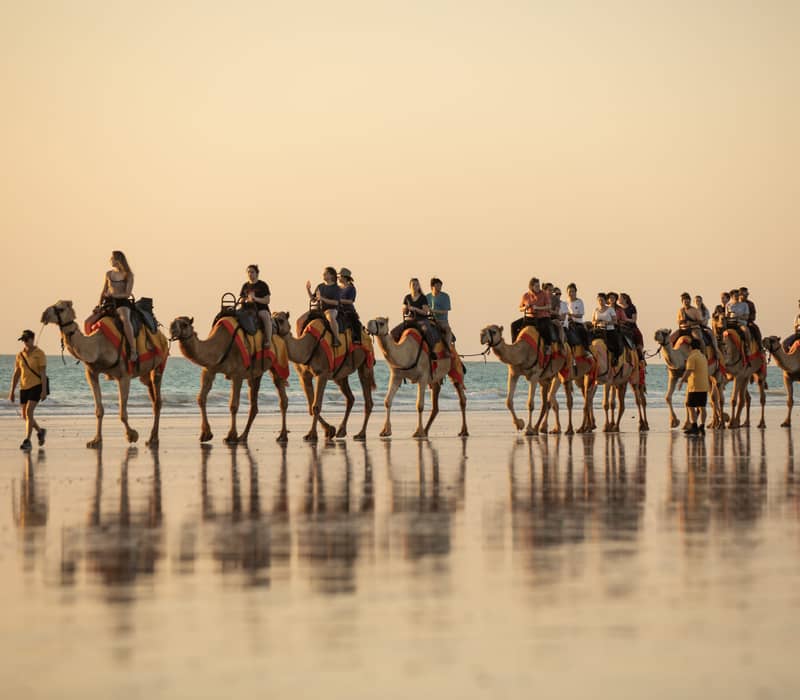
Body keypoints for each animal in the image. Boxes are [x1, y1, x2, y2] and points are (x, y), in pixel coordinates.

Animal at [41, 300, 168, 448]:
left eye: (60, 309)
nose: (44, 315)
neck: (98, 346)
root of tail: (162, 336)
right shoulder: (91, 373)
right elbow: (99, 410)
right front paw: (96, 440)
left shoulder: (124, 376)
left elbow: (122, 413)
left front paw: (132, 435)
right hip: (145, 374)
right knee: (153, 399)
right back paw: (152, 437)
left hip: (159, 364)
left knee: (157, 401)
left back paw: (154, 439)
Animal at [169, 315, 289, 444]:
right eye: (172, 322)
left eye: (185, 324)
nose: (172, 329)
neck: (219, 347)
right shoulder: (209, 370)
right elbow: (201, 399)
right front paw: (206, 434)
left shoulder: (237, 374)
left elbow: (233, 405)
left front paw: (231, 436)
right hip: (256, 373)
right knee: (254, 404)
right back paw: (243, 436)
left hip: (278, 363)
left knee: (282, 397)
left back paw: (282, 436)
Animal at [272, 312, 375, 442]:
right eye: (272, 316)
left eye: (281, 320)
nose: (270, 326)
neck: (307, 346)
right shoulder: (304, 376)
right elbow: (310, 405)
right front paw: (330, 430)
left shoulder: (322, 374)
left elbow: (316, 406)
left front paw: (312, 434)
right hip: (340, 376)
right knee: (350, 398)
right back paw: (341, 431)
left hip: (365, 363)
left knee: (368, 400)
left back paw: (361, 433)